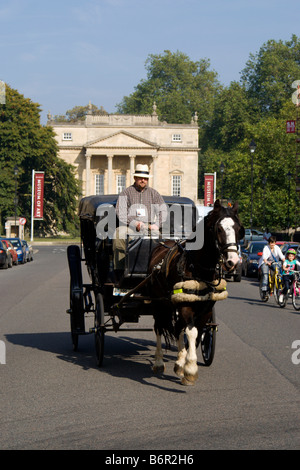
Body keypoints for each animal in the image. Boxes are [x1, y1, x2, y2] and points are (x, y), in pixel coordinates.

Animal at [147, 198, 244, 386]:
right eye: (218, 229)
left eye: (238, 229)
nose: (233, 261)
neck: (198, 269)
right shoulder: (186, 306)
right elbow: (191, 332)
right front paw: (191, 369)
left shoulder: (205, 309)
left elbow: (197, 333)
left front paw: (183, 364)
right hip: (158, 303)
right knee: (159, 327)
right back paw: (159, 362)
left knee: (177, 327)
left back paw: (178, 361)